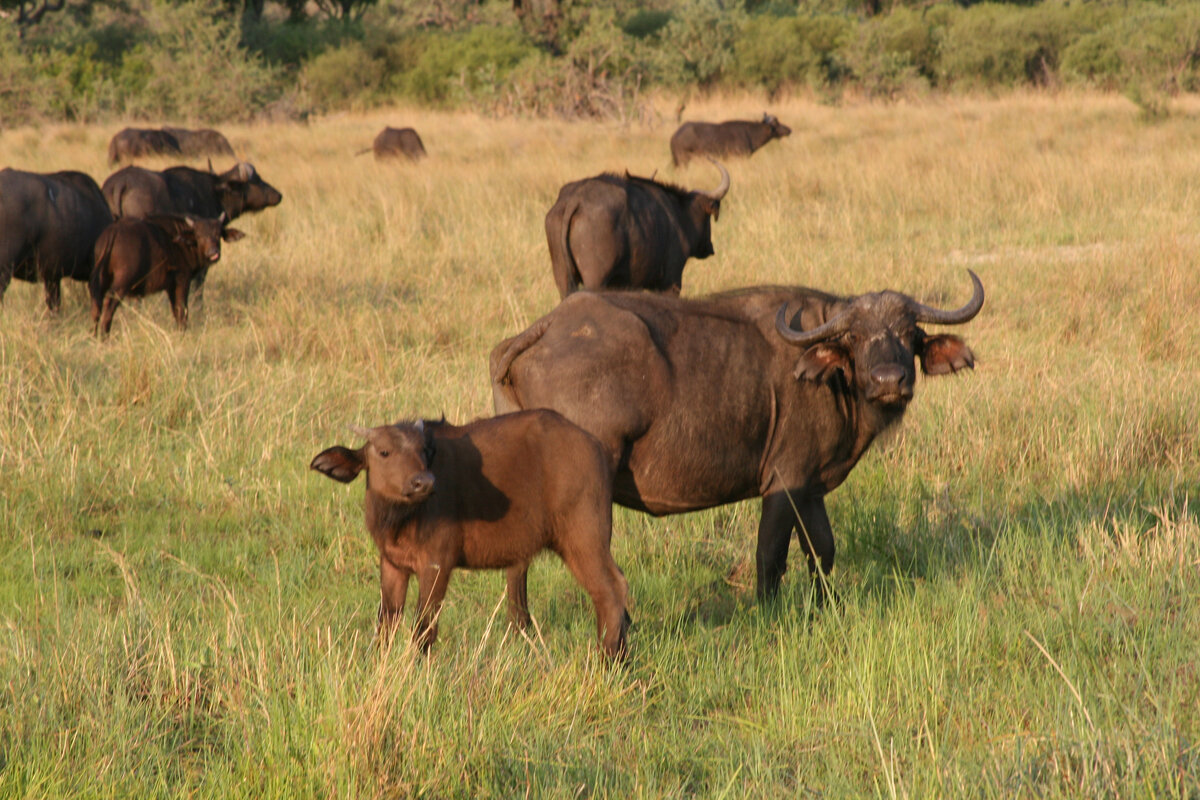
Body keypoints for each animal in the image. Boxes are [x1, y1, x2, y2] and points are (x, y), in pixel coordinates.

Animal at [91, 212, 248, 335]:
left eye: (218, 233)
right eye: (198, 235)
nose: (213, 253)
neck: (181, 243)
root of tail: (113, 232)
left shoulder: (170, 287)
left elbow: (175, 311)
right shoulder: (182, 280)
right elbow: (181, 310)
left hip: (100, 280)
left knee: (96, 306)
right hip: (122, 284)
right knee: (108, 304)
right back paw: (104, 336)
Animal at [307, 410, 628, 662]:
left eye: (423, 452)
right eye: (384, 451)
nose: (424, 482)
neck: (402, 519)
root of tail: (597, 448)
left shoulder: (437, 564)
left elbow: (424, 626)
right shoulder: (393, 564)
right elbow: (386, 625)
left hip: (584, 539)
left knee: (610, 590)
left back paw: (608, 661)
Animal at [492, 271, 988, 599]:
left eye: (910, 333)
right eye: (856, 336)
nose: (889, 380)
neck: (831, 377)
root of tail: (546, 327)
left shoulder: (810, 488)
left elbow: (822, 551)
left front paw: (825, 606)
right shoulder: (783, 482)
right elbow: (770, 555)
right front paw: (770, 613)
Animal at [547, 158, 729, 298]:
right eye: (707, 218)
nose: (709, 247)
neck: (679, 213)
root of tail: (576, 199)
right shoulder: (671, 281)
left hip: (563, 279)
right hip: (595, 280)